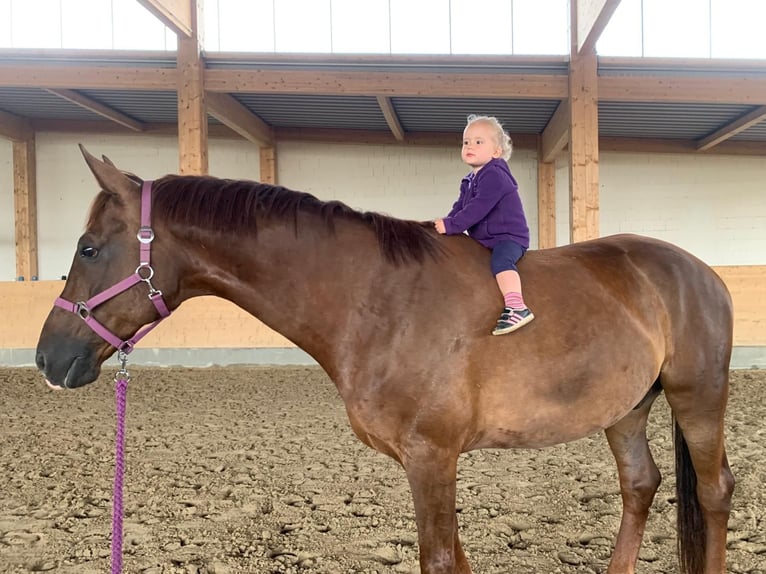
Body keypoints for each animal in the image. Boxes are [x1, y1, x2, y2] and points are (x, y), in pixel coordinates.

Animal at [36, 147, 735, 574]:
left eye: (89, 248)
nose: (48, 357)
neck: (375, 296)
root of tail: (702, 271)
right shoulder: (427, 464)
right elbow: (455, 556)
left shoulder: (432, 457)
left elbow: (438, 558)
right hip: (626, 407)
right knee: (639, 485)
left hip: (697, 398)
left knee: (715, 490)